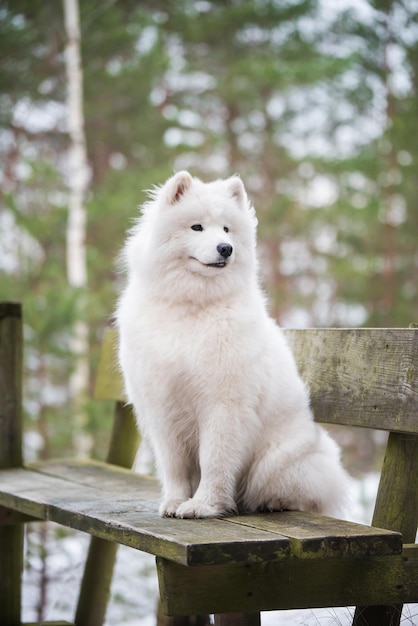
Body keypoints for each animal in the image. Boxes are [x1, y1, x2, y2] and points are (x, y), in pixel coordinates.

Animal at [116, 171, 352, 516]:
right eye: (197, 227)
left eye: (227, 229)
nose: (226, 248)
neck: (193, 306)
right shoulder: (162, 407)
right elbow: (174, 465)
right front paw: (174, 502)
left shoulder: (224, 405)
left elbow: (214, 460)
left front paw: (203, 505)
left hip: (282, 461)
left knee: (304, 495)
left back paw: (274, 502)